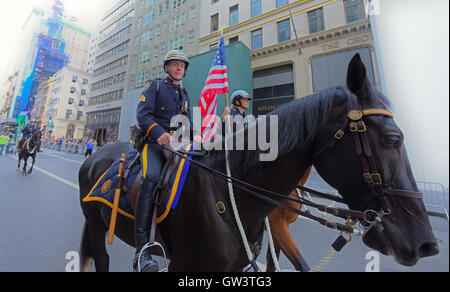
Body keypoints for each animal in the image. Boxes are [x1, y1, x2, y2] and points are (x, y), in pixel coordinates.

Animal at [79, 54, 438, 272]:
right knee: (102, 257)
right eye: (393, 139)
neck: (227, 192)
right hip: (97, 225)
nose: (426, 243)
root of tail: (97, 154)